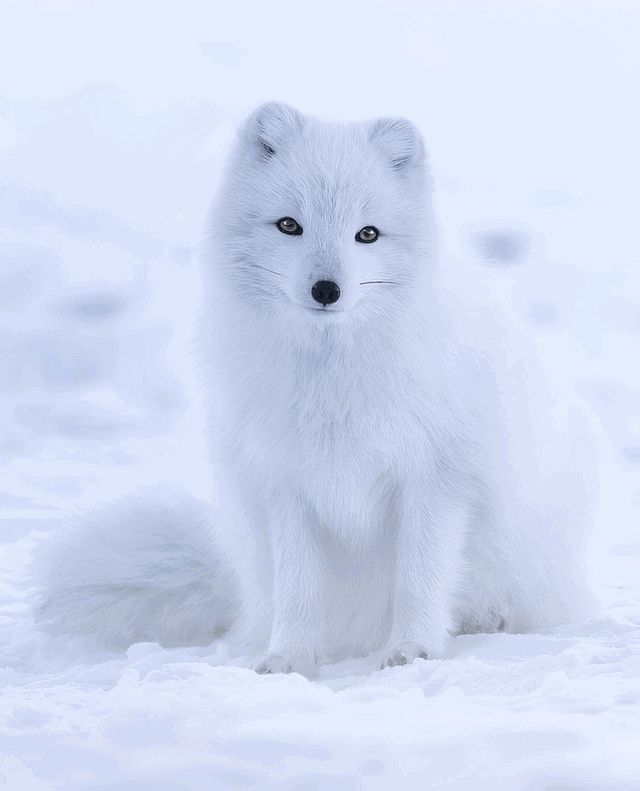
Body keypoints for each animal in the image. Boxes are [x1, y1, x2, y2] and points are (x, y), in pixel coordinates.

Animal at [36, 102, 594, 677]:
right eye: (289, 225)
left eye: (367, 234)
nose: (327, 289)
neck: (333, 378)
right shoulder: (286, 483)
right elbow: (299, 589)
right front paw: (290, 658)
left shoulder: (436, 478)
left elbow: (420, 579)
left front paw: (412, 651)